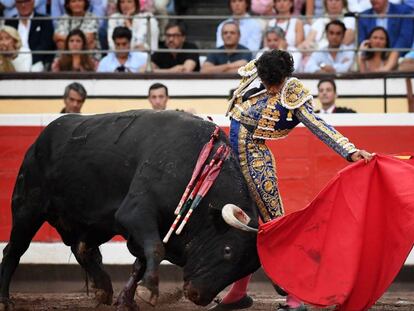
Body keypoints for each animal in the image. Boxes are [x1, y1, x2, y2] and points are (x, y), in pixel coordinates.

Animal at [0, 109, 258, 310]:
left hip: (98, 221)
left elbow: (140, 261)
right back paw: (5, 300)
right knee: (14, 250)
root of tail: (39, 140)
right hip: (27, 208)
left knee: (82, 247)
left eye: (243, 269)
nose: (198, 296)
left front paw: (128, 300)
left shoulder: (144, 226)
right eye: (227, 251)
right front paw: (149, 291)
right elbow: (155, 249)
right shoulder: (135, 213)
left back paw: (103, 289)